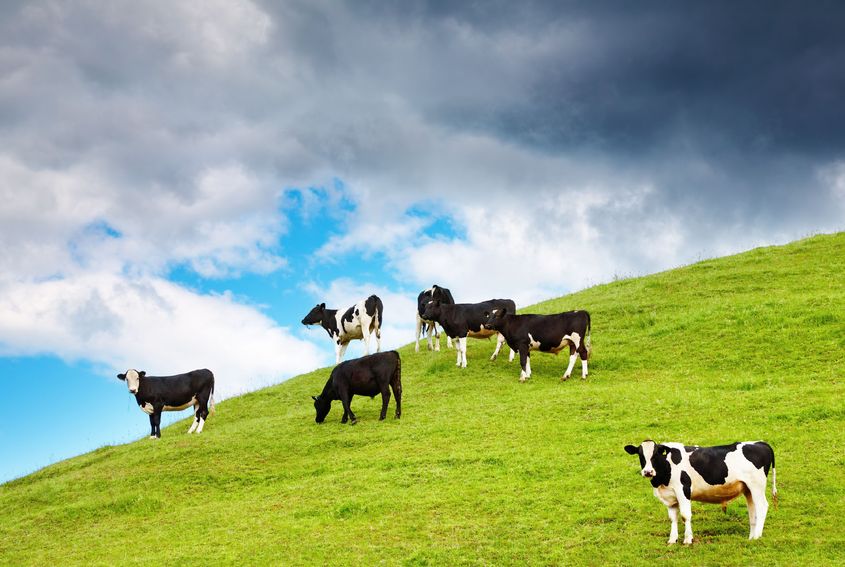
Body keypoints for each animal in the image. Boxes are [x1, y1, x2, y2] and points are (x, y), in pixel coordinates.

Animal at [620, 440, 780, 544]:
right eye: (641, 455)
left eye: (655, 455)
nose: (647, 472)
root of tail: (760, 443)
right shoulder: (670, 497)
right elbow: (673, 518)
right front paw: (672, 539)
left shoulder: (683, 490)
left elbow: (685, 515)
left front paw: (687, 539)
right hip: (748, 489)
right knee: (753, 511)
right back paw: (751, 537)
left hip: (757, 485)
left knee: (762, 506)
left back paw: (757, 536)